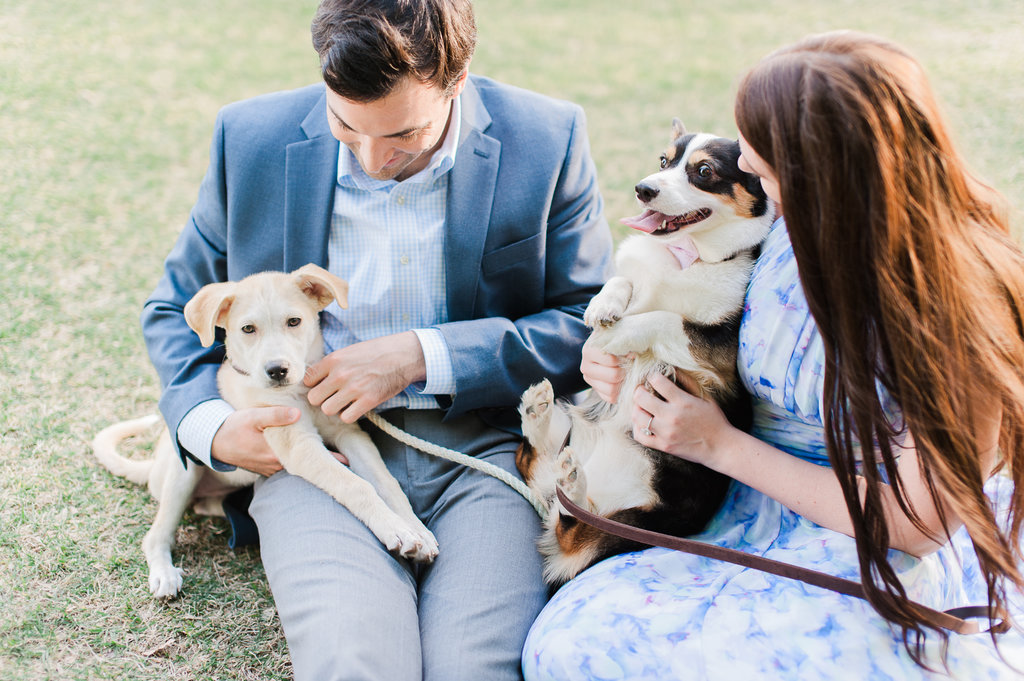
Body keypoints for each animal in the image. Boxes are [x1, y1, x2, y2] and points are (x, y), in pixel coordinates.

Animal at [96, 262, 444, 598]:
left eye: (294, 321)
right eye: (248, 329)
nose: (277, 370)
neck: (300, 391)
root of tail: (152, 466)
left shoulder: (348, 434)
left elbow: (385, 483)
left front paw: (415, 529)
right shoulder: (299, 445)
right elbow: (356, 485)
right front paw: (396, 529)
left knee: (204, 505)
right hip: (183, 471)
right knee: (157, 535)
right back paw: (165, 574)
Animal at [516, 119, 770, 581]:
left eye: (703, 171)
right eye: (664, 161)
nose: (643, 189)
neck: (687, 255)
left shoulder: (721, 354)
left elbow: (665, 318)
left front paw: (614, 336)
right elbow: (623, 281)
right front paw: (604, 307)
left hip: (635, 521)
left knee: (574, 530)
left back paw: (571, 482)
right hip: (571, 438)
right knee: (538, 465)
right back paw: (539, 416)